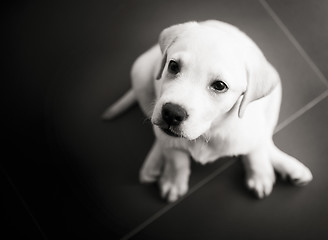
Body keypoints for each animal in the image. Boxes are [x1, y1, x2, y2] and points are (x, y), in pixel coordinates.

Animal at [103, 20, 312, 201]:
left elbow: (256, 148)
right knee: (161, 137)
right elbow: (176, 157)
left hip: (275, 97)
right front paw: (173, 180)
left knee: (266, 136)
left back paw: (289, 167)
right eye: (173, 65)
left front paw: (260, 174)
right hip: (140, 72)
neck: (208, 131)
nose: (172, 113)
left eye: (219, 86)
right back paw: (153, 162)